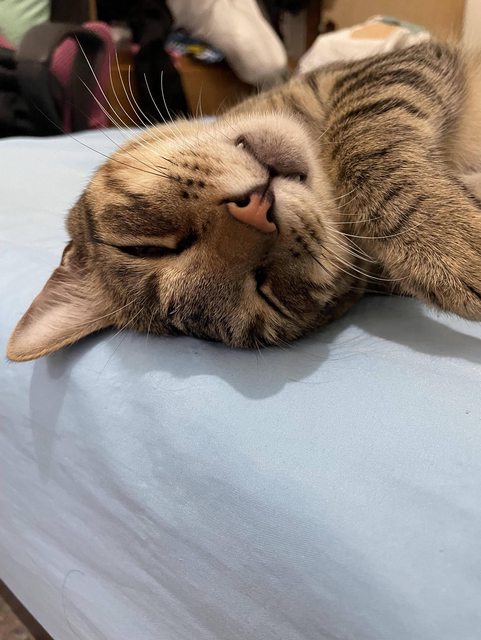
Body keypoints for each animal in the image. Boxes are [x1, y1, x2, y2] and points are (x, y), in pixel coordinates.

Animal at [7, 40, 481, 361]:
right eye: (267, 290)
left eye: (144, 247)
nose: (256, 209)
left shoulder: (386, 72)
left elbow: (363, 138)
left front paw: (447, 242)